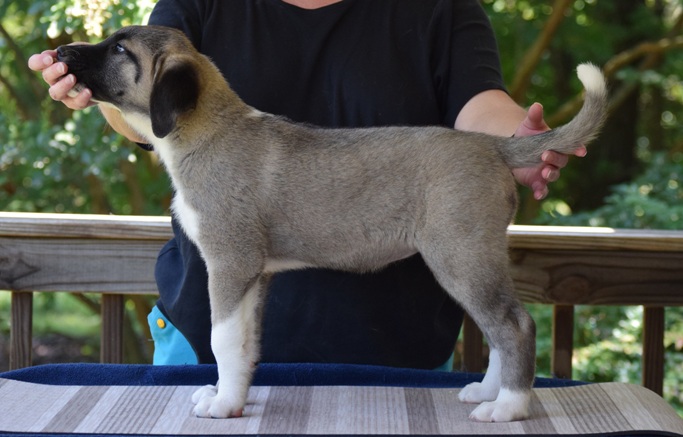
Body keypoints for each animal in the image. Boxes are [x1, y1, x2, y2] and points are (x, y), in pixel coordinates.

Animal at [56, 25, 607, 422]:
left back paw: (509, 407)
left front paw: (221, 405)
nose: (60, 52)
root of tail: (492, 145)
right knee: (498, 328)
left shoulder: (230, 264)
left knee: (513, 325)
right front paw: (234, 398)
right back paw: (487, 393)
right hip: (468, 261)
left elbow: (221, 340)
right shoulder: (255, 275)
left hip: (461, 257)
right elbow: (245, 346)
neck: (208, 130)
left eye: (119, 49)